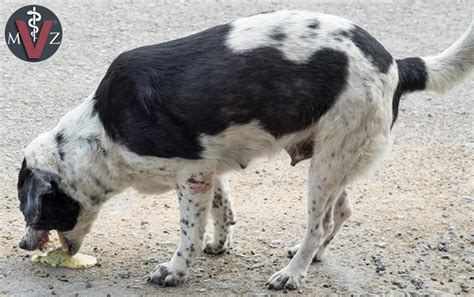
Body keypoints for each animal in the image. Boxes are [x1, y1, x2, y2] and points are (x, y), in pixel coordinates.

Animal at [16, 11, 472, 290]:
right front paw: (220, 244)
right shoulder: (207, 169)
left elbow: (189, 232)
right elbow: (223, 210)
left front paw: (176, 270)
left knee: (320, 223)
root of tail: (396, 63)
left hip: (327, 165)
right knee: (341, 211)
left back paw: (292, 274)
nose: (21, 246)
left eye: (30, 210)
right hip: (337, 159)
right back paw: (312, 257)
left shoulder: (190, 176)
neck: (104, 131)